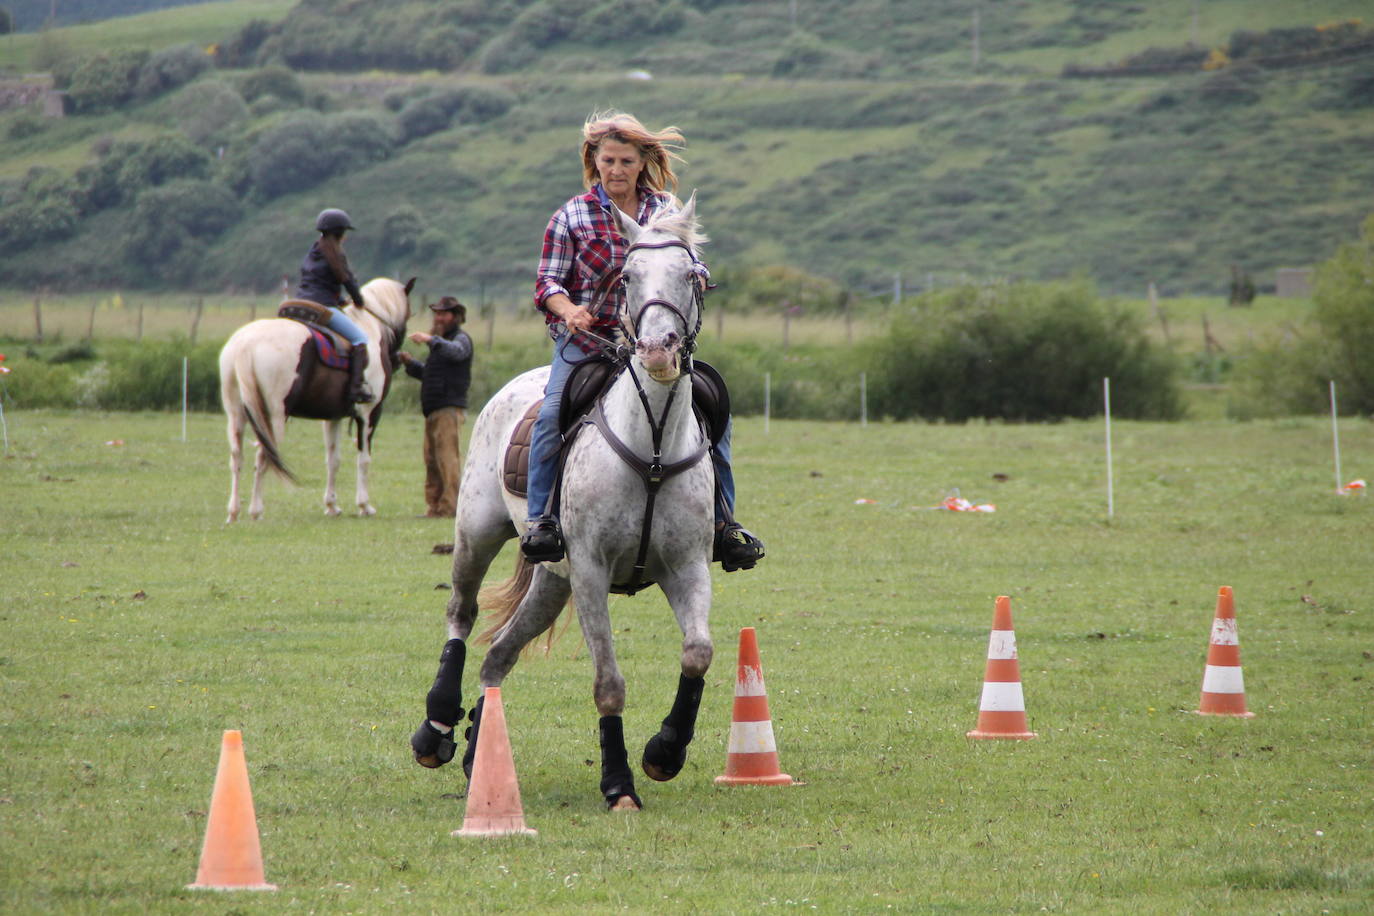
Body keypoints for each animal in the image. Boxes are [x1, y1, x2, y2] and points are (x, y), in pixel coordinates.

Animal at [217, 276, 412, 521]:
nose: (398, 358)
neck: (369, 327)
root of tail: (246, 345)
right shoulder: (369, 414)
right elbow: (364, 459)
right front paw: (364, 506)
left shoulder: (333, 418)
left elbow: (333, 460)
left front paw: (332, 506)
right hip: (272, 417)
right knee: (263, 455)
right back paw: (256, 511)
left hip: (236, 415)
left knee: (237, 457)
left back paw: (234, 512)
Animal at [409, 195, 719, 807]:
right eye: (629, 276)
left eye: (691, 275)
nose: (657, 351)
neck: (651, 449)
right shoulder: (593, 572)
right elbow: (608, 684)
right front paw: (619, 783)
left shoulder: (687, 566)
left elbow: (698, 652)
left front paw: (664, 751)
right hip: (476, 534)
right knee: (462, 614)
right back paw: (435, 728)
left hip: (553, 582)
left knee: (499, 654)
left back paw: (481, 753)